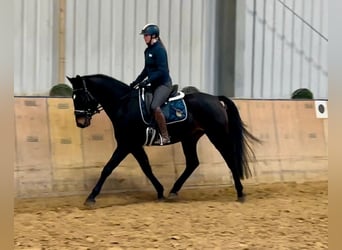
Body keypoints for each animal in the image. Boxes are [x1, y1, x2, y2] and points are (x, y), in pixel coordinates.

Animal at [66, 73, 260, 206]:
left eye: (81, 97)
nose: (80, 122)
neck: (124, 104)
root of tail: (215, 99)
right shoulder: (134, 145)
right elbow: (146, 167)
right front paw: (160, 192)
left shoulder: (126, 144)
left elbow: (108, 168)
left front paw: (91, 197)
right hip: (190, 138)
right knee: (192, 162)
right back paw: (173, 191)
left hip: (217, 134)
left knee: (230, 158)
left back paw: (240, 193)